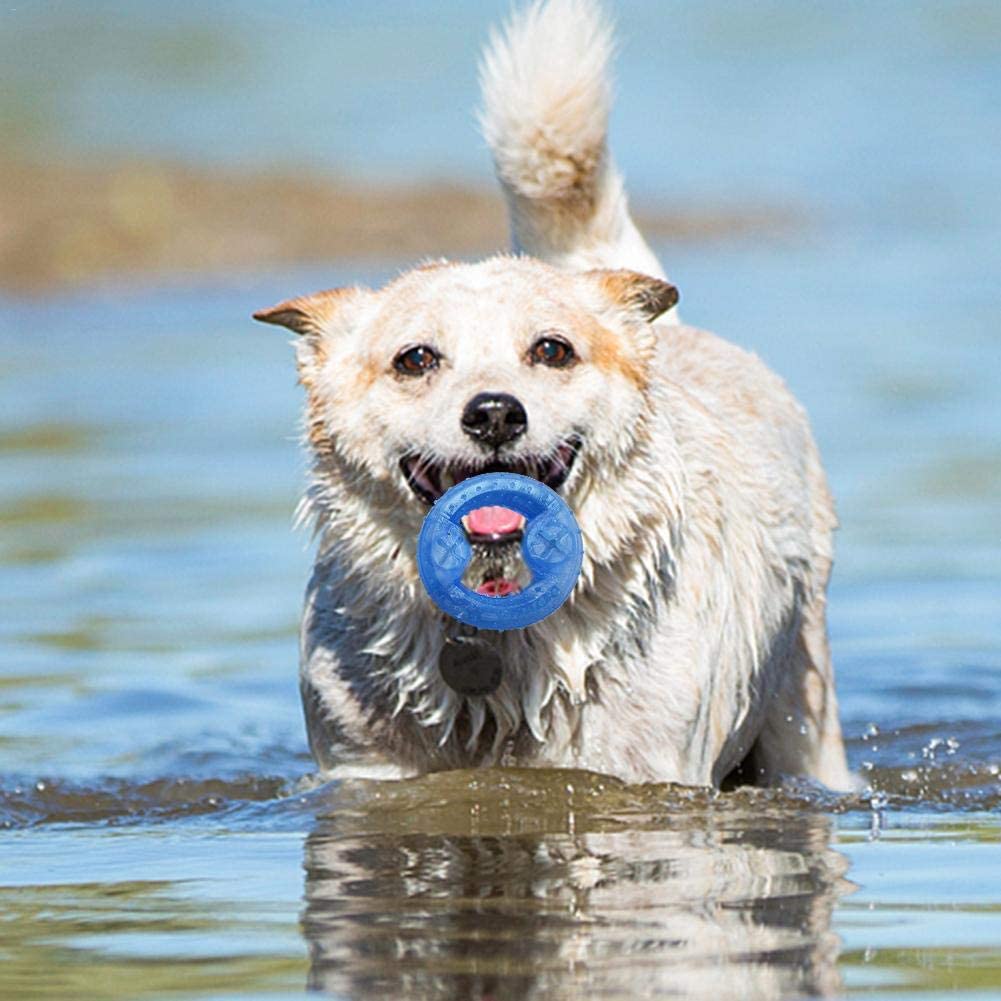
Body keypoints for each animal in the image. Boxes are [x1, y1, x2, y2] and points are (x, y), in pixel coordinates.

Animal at [252, 0, 852, 788]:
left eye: (550, 349)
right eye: (416, 358)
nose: (494, 413)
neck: (496, 624)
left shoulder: (650, 770)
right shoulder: (362, 768)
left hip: (803, 714)